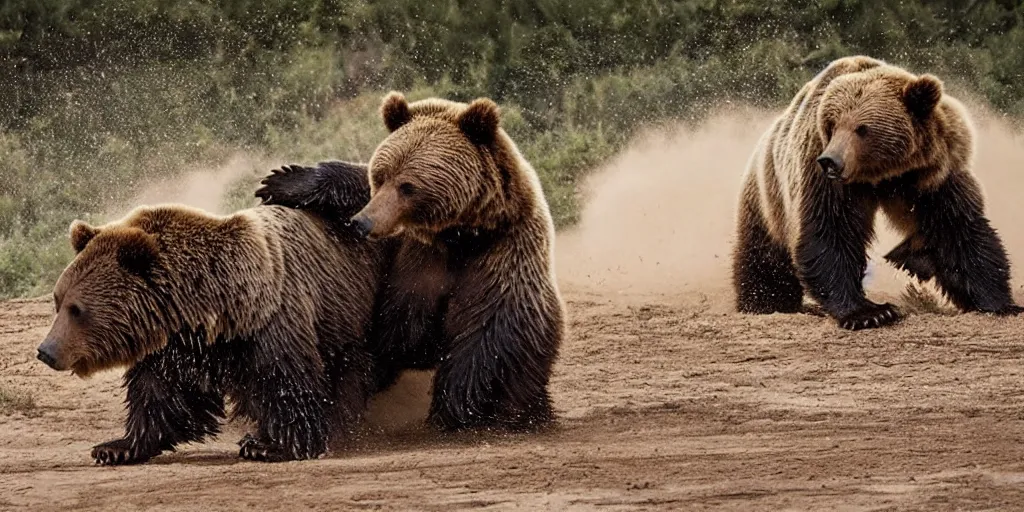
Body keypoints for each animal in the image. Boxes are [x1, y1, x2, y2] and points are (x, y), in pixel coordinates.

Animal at [36, 202, 382, 464]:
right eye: (58, 300)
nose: (46, 351)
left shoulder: (270, 323)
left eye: (77, 309)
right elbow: (158, 395)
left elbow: (285, 381)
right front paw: (114, 448)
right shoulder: (176, 346)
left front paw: (270, 445)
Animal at [252, 93, 565, 432]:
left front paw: (456, 407)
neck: (456, 239)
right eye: (381, 176)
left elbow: (484, 344)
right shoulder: (408, 255)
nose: (363, 223)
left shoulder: (500, 262)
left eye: (408, 186)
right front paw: (283, 181)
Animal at [733, 55, 1019, 327]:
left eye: (862, 128)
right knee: (765, 258)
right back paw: (765, 303)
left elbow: (957, 229)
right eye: (832, 125)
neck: (883, 173)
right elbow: (831, 232)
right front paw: (870, 313)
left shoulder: (934, 174)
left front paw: (1000, 303)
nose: (830, 161)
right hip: (767, 197)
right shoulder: (825, 180)